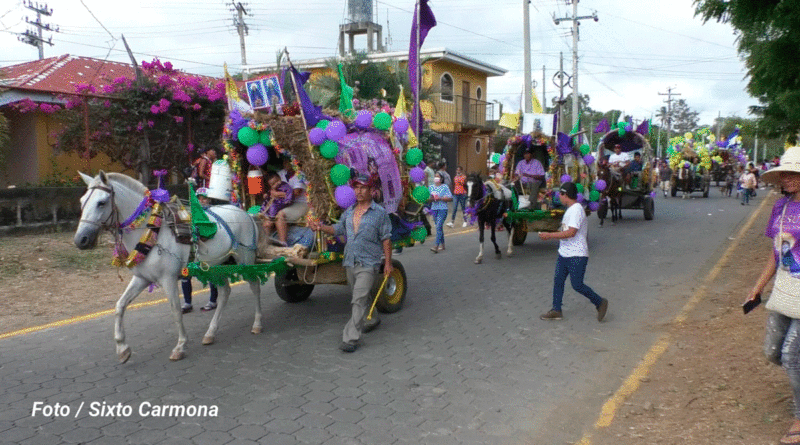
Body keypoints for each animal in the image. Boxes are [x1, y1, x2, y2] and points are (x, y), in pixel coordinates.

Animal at [74, 170, 262, 360]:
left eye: (101, 203)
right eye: (82, 202)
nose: (80, 240)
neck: (151, 229)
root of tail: (245, 213)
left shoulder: (168, 279)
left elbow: (176, 310)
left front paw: (180, 346)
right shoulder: (141, 278)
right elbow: (120, 306)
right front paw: (122, 348)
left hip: (245, 262)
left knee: (254, 287)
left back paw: (257, 323)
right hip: (217, 267)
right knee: (224, 293)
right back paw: (210, 333)